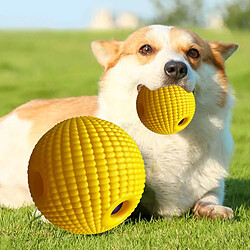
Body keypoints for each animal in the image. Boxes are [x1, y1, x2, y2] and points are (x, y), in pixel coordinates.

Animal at [0, 25, 238, 220]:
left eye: (193, 53)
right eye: (145, 49)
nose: (177, 68)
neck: (166, 137)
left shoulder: (212, 185)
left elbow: (210, 196)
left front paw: (211, 209)